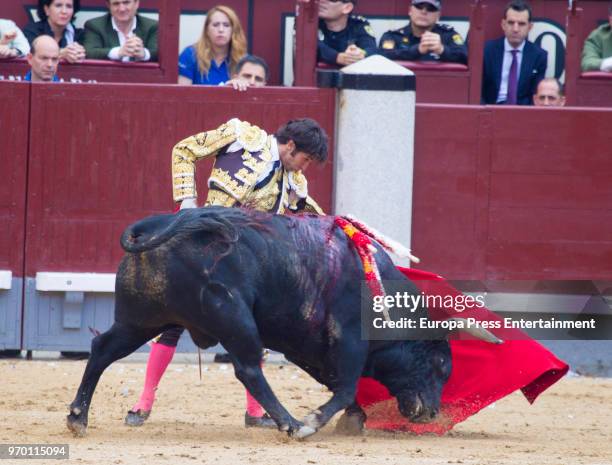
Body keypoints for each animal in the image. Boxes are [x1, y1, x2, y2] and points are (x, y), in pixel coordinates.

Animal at [67, 208, 498, 436]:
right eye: (441, 363)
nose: (431, 413)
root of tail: (156, 226)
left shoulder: (308, 347)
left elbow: (339, 385)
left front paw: (353, 419)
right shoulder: (348, 341)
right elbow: (345, 385)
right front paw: (316, 420)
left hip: (141, 320)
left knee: (102, 349)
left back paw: (77, 417)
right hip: (234, 318)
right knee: (248, 368)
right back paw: (290, 423)